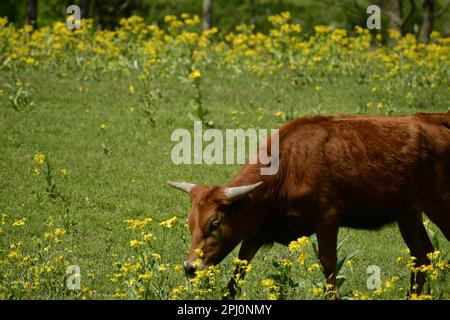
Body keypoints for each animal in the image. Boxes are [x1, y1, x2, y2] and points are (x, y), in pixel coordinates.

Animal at [168, 111, 450, 298]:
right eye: (190, 224)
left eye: (215, 223)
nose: (190, 267)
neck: (289, 165)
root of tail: (433, 118)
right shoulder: (258, 230)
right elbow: (240, 267)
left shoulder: (327, 218)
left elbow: (328, 263)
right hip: (408, 214)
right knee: (422, 256)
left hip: (439, 206)